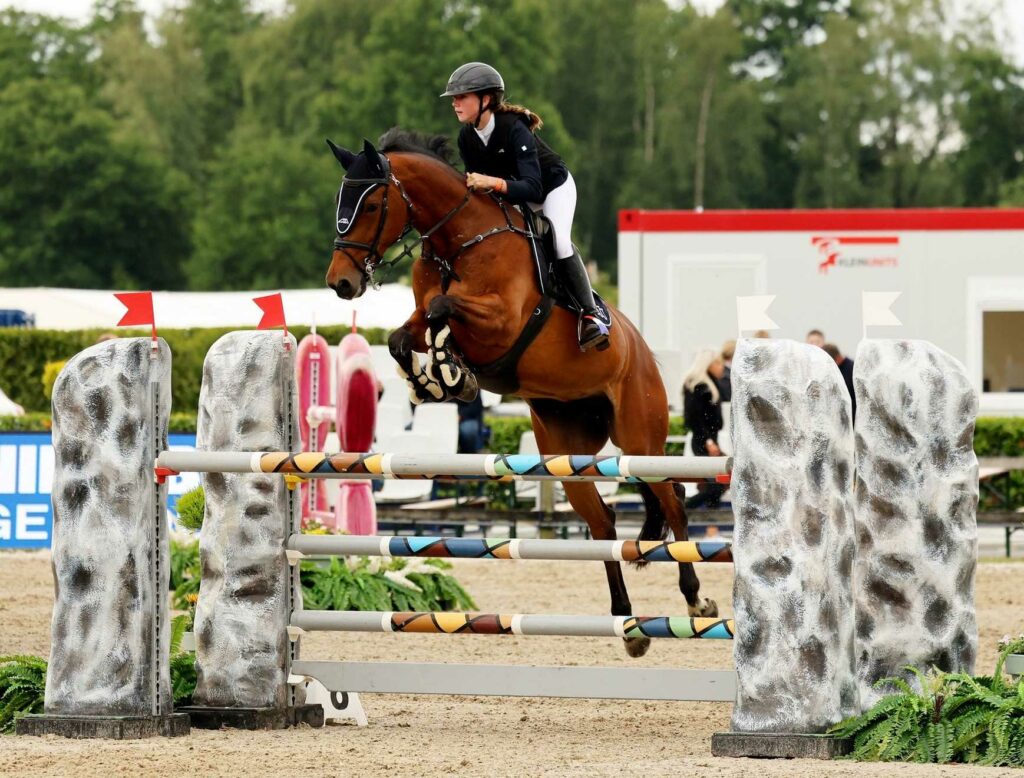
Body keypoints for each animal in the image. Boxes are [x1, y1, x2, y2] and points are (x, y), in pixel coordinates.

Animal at [324, 129, 718, 657]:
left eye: (370, 204)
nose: (341, 283)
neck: (458, 241)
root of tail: (640, 348)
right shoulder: (421, 317)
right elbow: (403, 336)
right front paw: (433, 378)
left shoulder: (501, 321)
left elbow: (443, 308)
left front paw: (450, 369)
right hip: (567, 453)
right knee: (603, 524)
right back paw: (627, 623)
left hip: (641, 436)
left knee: (671, 497)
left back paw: (696, 602)